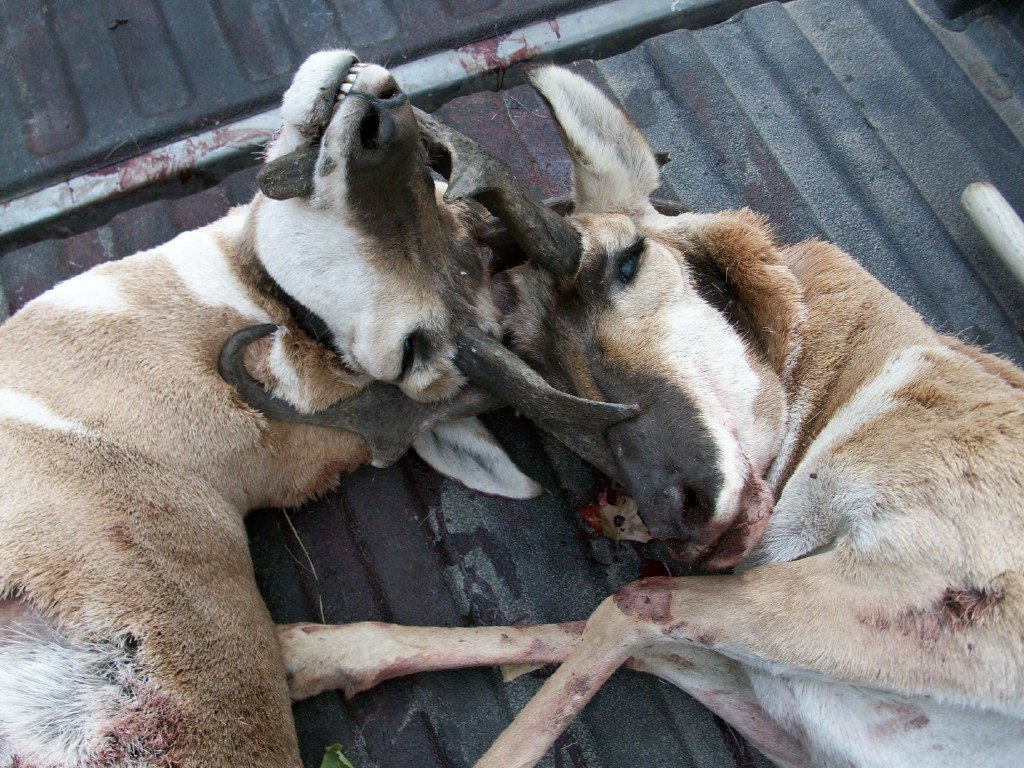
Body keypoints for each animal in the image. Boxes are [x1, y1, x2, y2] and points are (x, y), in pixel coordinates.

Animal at [280, 65, 1024, 767]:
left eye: (628, 260)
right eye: (534, 358)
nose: (681, 509)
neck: (855, 377)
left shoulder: (929, 593)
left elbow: (626, 607)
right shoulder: (781, 706)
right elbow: (584, 631)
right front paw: (307, 654)